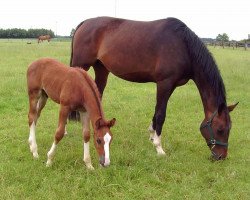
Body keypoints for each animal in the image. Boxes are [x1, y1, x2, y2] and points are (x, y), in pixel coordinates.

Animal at [69, 16, 237, 161]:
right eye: (220, 129)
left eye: (229, 129)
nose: (221, 156)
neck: (183, 46)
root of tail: (85, 23)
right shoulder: (165, 83)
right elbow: (161, 114)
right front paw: (159, 148)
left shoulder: (170, 85)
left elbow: (156, 113)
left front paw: (151, 134)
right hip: (82, 64)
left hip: (102, 69)